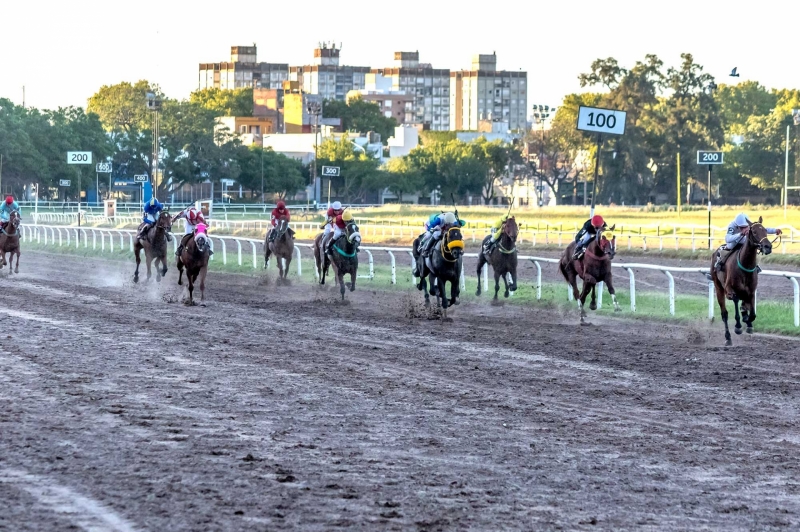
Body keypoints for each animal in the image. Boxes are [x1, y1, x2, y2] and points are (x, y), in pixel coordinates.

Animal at [712, 216, 776, 344]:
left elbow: (752, 314)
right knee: (724, 313)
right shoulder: (729, 290)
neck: (745, 265)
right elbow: (736, 302)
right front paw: (738, 326)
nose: (768, 247)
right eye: (754, 232)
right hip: (718, 287)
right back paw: (728, 337)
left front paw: (748, 322)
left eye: (765, 230)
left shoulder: (751, 291)